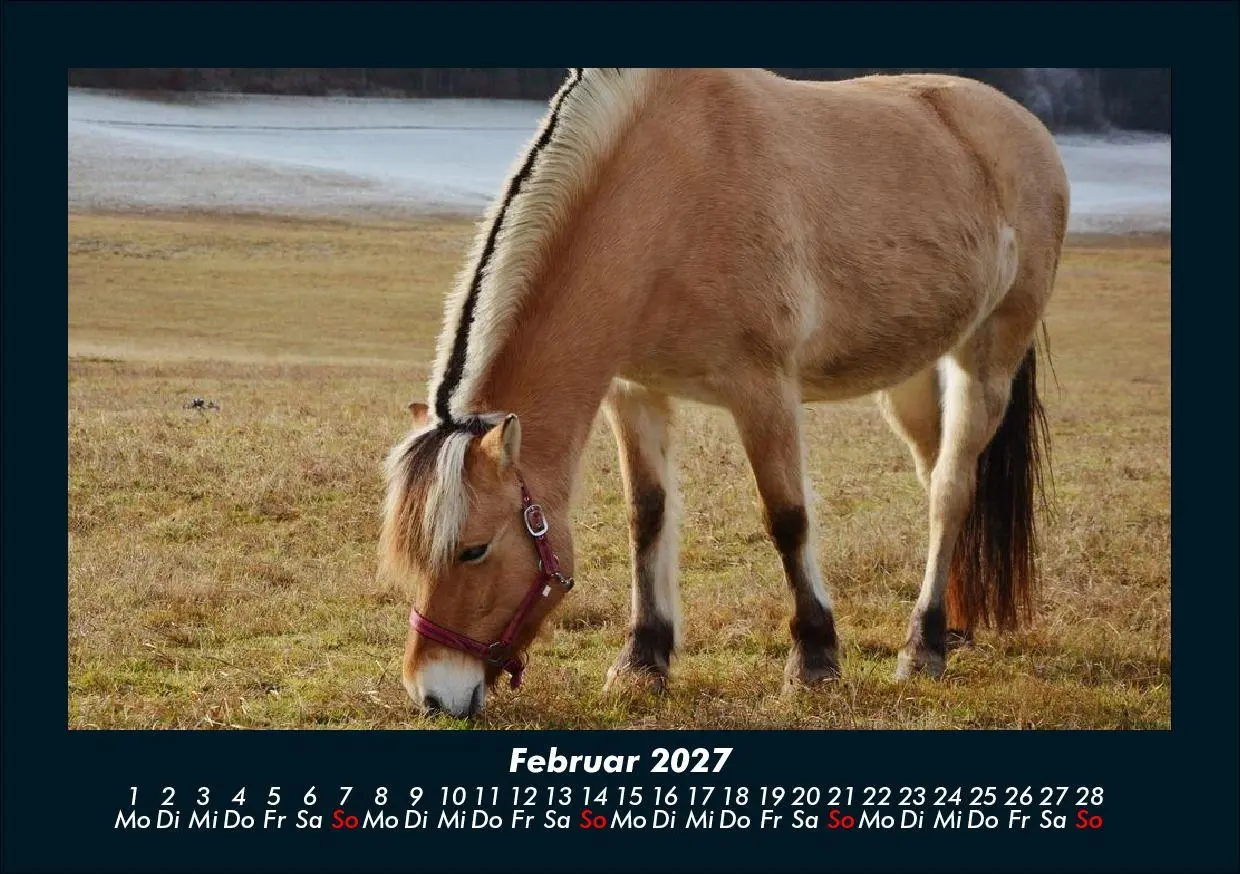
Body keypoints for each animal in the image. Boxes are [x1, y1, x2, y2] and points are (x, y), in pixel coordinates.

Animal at [381, 68, 1066, 718]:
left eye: (474, 550)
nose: (434, 693)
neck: (672, 190)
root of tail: (1024, 128)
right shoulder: (635, 393)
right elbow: (647, 516)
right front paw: (643, 661)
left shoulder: (764, 391)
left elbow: (787, 517)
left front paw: (814, 661)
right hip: (913, 377)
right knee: (938, 480)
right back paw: (955, 627)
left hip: (986, 358)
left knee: (951, 489)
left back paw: (923, 647)